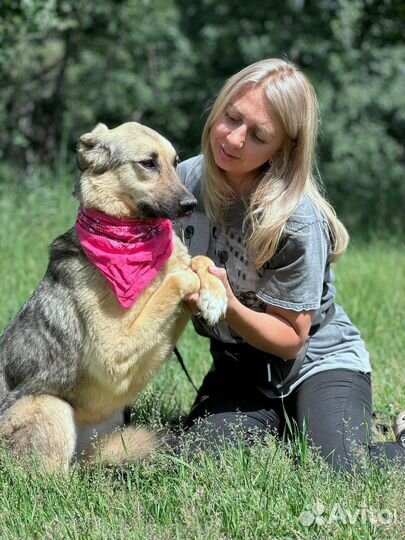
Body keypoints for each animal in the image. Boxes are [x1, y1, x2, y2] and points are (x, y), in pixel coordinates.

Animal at [0, 122, 227, 472]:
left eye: (176, 162)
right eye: (147, 163)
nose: (190, 204)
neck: (132, 240)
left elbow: (200, 261)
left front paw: (215, 295)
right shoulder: (114, 353)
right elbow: (177, 278)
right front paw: (193, 284)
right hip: (50, 405)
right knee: (52, 480)